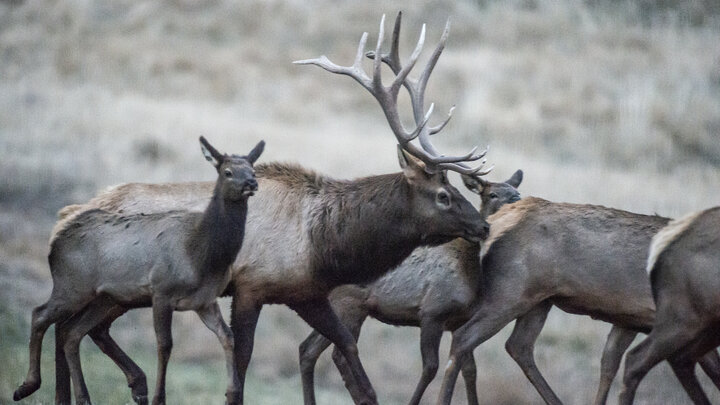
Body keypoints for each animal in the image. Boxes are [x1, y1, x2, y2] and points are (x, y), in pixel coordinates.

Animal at [13, 137, 265, 405]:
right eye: (227, 172)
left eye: (252, 170)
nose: (251, 183)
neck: (202, 254)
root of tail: (54, 243)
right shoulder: (162, 290)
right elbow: (165, 345)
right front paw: (158, 398)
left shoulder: (204, 301)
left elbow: (227, 336)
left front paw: (233, 392)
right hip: (72, 286)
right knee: (39, 314)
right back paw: (27, 385)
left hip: (103, 297)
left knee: (72, 332)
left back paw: (83, 397)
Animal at [41, 13, 493, 405]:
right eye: (443, 195)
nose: (482, 228)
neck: (322, 242)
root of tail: (65, 216)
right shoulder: (250, 287)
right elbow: (241, 366)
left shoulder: (305, 292)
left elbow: (350, 356)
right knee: (69, 326)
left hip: (117, 294)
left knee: (77, 329)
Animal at [297, 168, 522, 405]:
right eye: (492, 194)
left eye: (515, 189)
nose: (517, 199)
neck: (468, 264)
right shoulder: (433, 311)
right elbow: (431, 368)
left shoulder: (457, 321)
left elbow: (468, 369)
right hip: (350, 306)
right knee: (336, 352)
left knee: (308, 349)